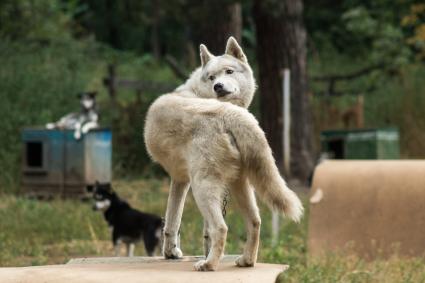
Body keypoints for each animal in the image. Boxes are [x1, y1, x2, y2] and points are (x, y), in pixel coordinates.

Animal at [144, 36, 304, 272]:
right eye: (211, 77)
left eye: (229, 71)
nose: (217, 86)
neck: (197, 91)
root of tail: (231, 114)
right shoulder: (181, 180)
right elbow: (179, 223)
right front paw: (172, 253)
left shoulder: (182, 181)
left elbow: (173, 222)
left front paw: (171, 253)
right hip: (240, 186)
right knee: (255, 222)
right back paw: (246, 261)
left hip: (202, 187)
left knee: (221, 228)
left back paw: (208, 264)